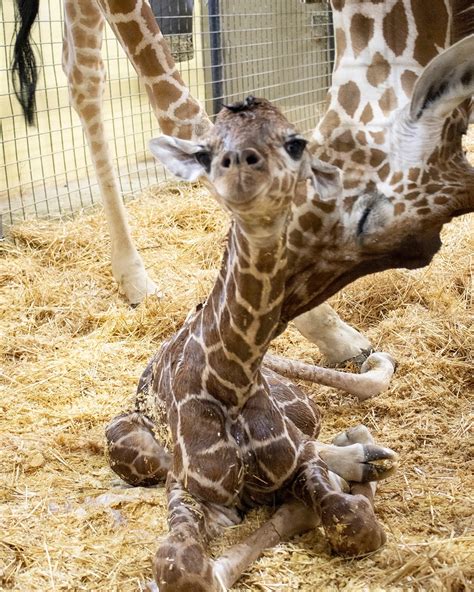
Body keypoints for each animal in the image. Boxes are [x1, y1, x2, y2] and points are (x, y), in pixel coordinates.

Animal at [106, 98, 396, 592]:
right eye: (206, 151)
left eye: (295, 143)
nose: (243, 168)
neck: (231, 380)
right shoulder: (185, 487)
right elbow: (184, 568)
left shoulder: (297, 462)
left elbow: (354, 523)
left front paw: (351, 477)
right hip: (128, 448)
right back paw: (360, 451)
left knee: (354, 393)